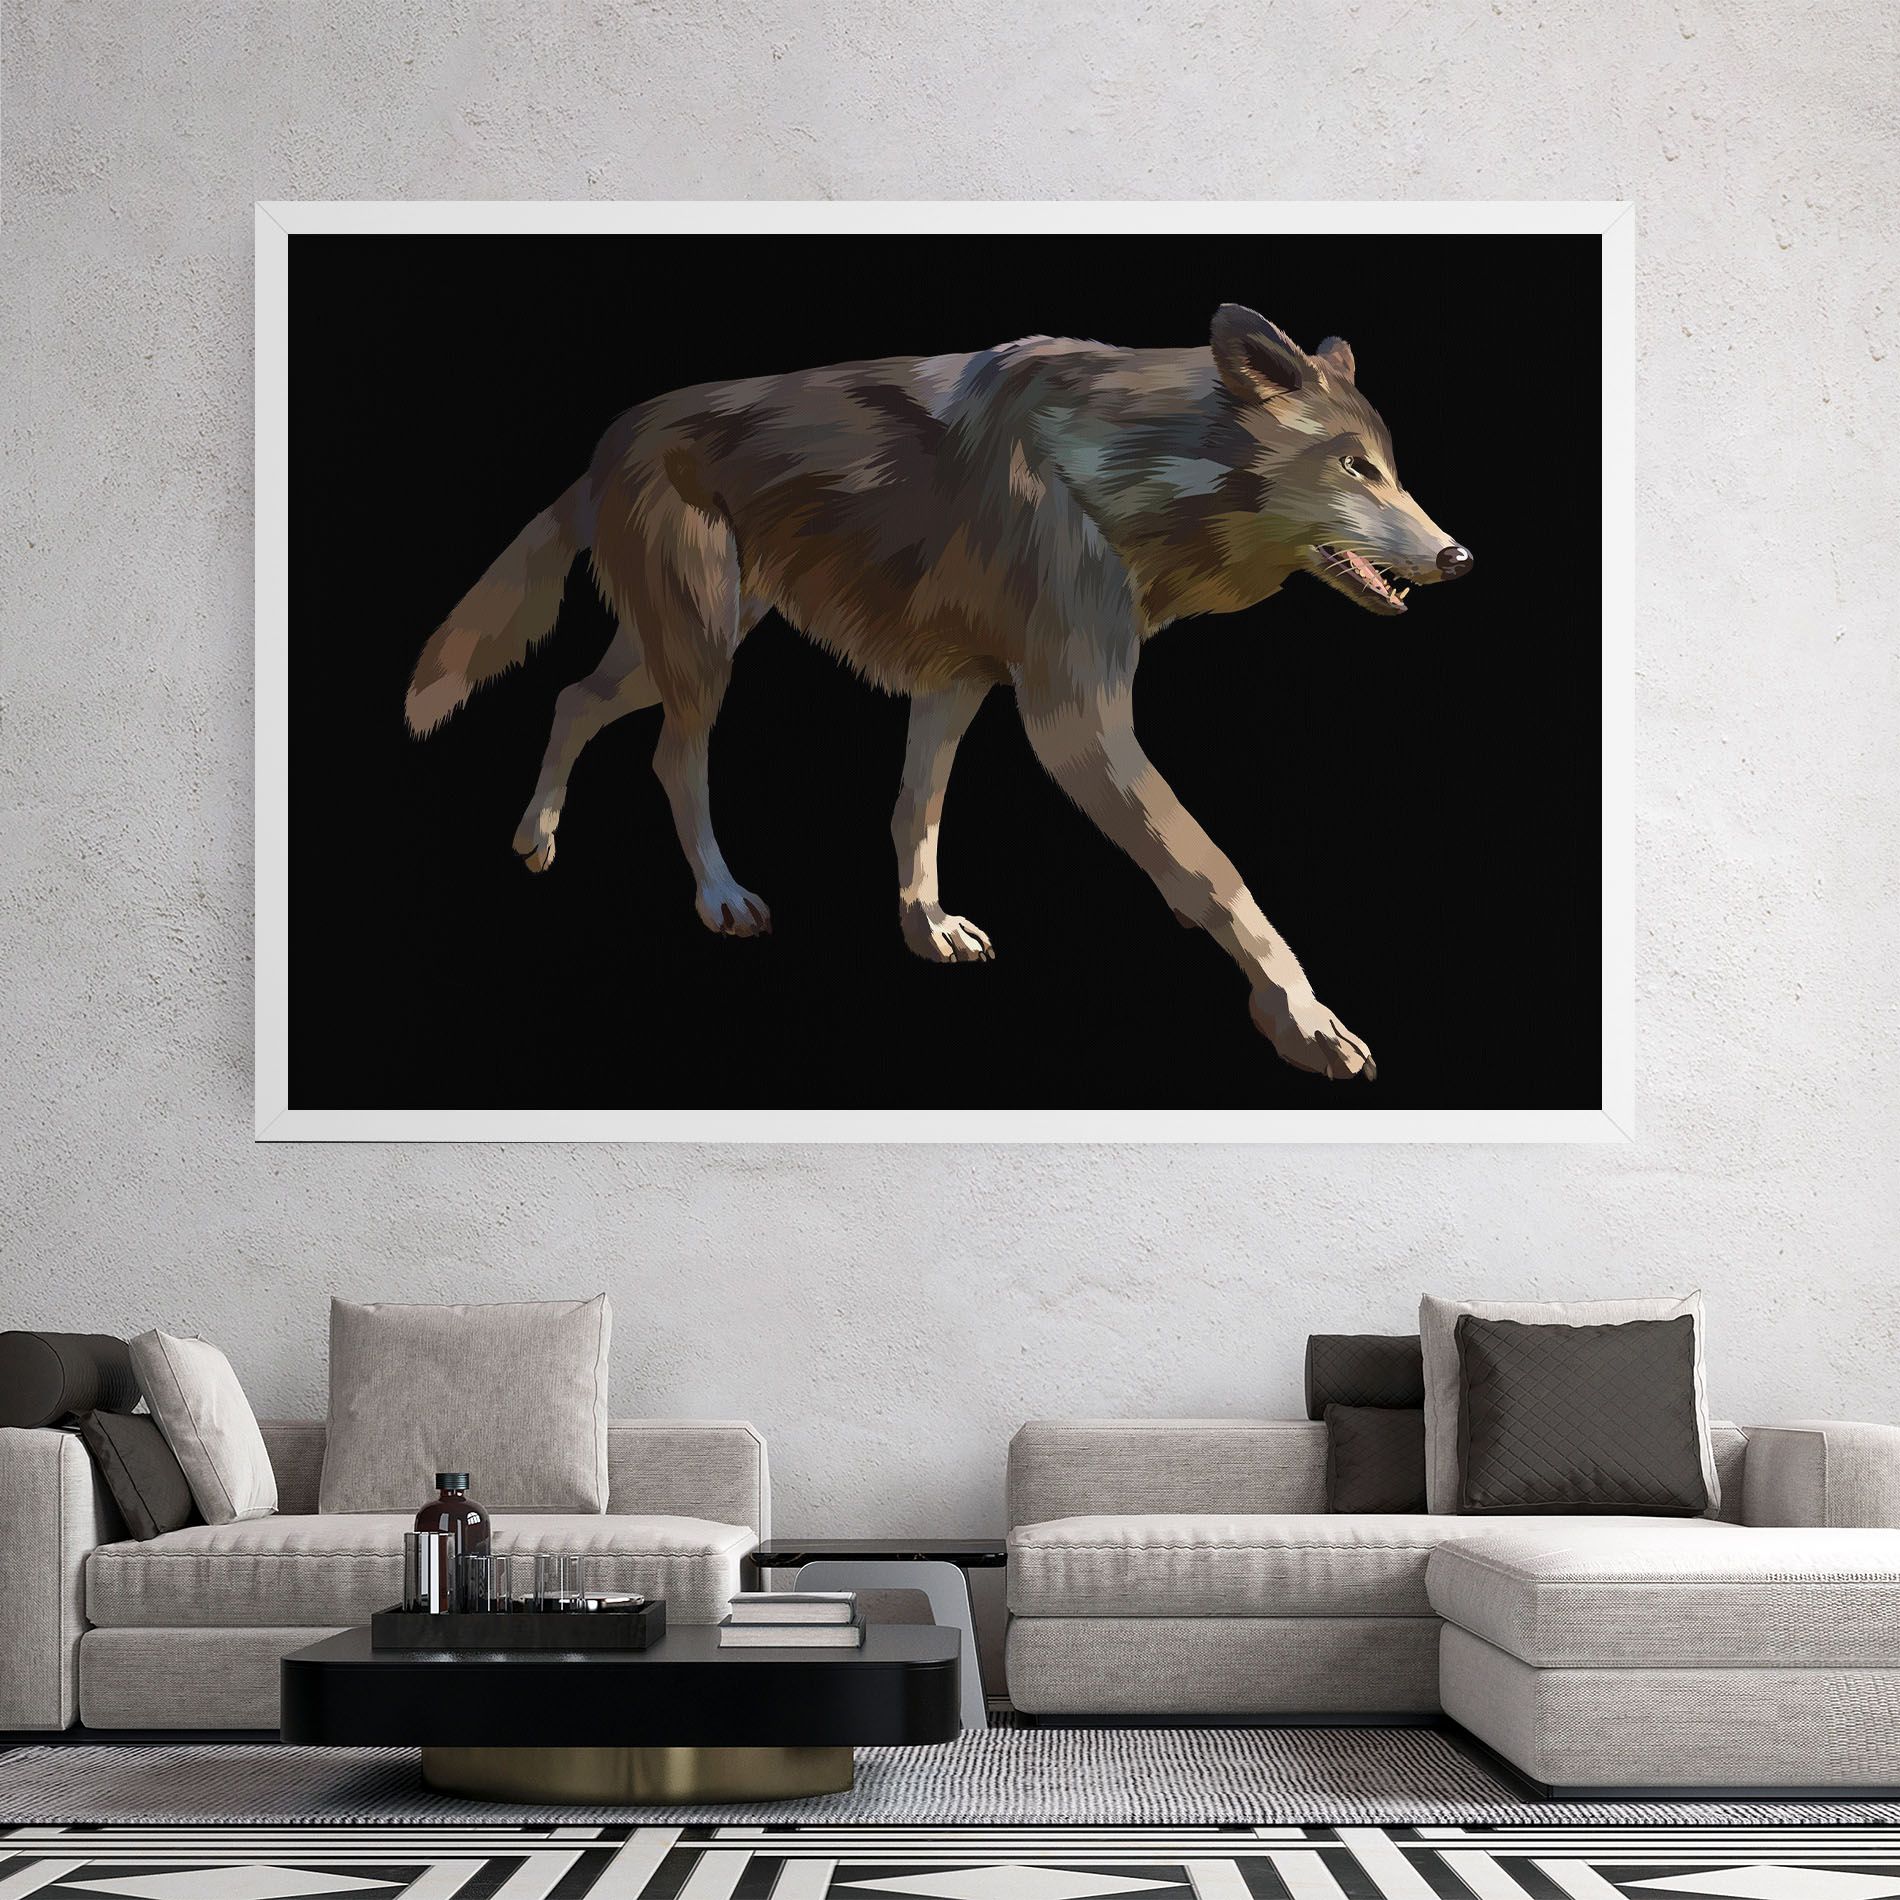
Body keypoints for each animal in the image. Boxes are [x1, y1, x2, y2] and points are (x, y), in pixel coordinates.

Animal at [404, 304, 1472, 1081]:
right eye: (1355, 467)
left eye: (1393, 470)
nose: (1459, 557)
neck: (1122, 473)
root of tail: (610, 434)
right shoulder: (1074, 721)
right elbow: (1216, 875)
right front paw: (1305, 1022)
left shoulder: (955, 685)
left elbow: (916, 811)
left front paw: (926, 929)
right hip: (703, 651)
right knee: (671, 755)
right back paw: (719, 897)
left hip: (682, 644)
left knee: (572, 698)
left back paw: (536, 837)